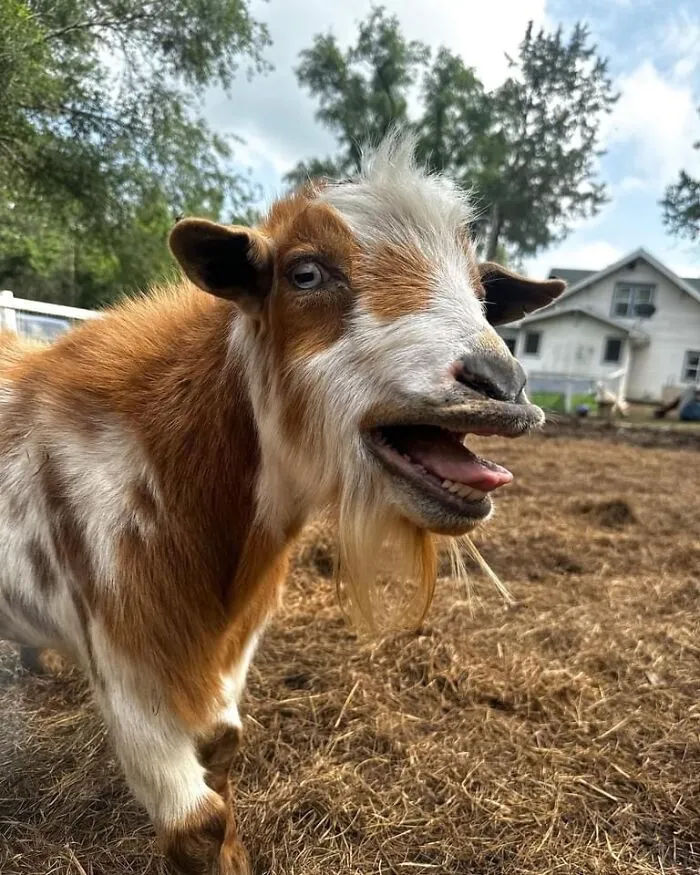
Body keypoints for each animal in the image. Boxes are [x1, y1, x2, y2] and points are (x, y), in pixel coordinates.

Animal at [0, 134, 564, 874]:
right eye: (305, 273)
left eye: (482, 294)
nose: (499, 382)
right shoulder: (126, 659)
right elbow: (196, 823)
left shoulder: (229, 651)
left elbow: (222, 750)